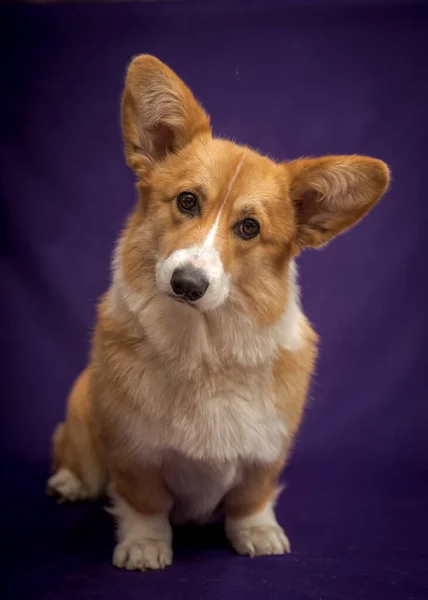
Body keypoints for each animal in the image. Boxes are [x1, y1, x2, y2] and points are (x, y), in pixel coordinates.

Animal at [47, 55, 392, 572]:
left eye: (249, 228)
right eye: (187, 201)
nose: (187, 284)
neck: (203, 347)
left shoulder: (266, 451)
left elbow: (252, 497)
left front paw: (258, 534)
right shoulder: (133, 452)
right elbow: (144, 502)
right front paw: (145, 545)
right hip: (80, 405)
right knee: (74, 453)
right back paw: (69, 482)